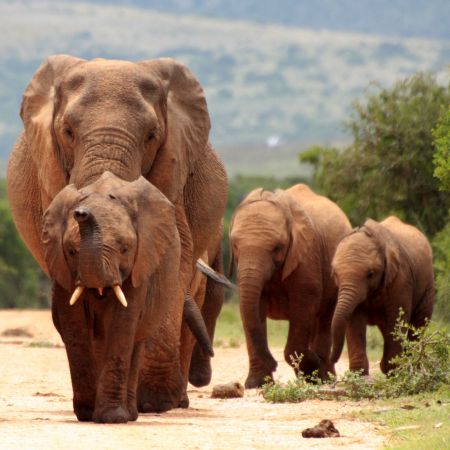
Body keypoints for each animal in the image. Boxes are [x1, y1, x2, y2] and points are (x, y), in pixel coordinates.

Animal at [229, 183, 352, 386]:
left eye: (277, 247)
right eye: (234, 245)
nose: (274, 364)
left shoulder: (306, 257)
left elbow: (303, 306)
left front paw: (312, 365)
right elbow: (252, 310)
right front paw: (257, 384)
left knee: (325, 317)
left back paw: (322, 376)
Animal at [332, 216, 434, 374]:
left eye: (370, 274)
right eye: (335, 274)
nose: (333, 360)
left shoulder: (401, 280)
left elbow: (396, 322)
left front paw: (396, 373)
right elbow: (354, 321)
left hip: (427, 287)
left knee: (416, 326)